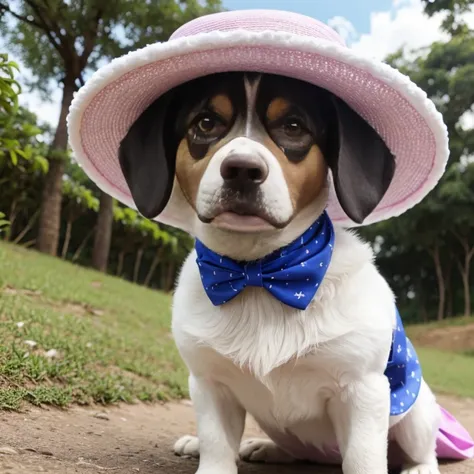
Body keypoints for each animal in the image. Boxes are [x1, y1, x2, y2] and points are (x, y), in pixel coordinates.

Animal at [117, 71, 440, 474]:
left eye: (293, 126)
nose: (242, 170)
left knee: (424, 450)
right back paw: (262, 447)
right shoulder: (210, 384)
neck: (259, 274)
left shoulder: (363, 390)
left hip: (415, 414)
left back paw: (419, 467)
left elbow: (364, 459)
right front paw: (207, 449)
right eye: (205, 123)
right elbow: (216, 446)